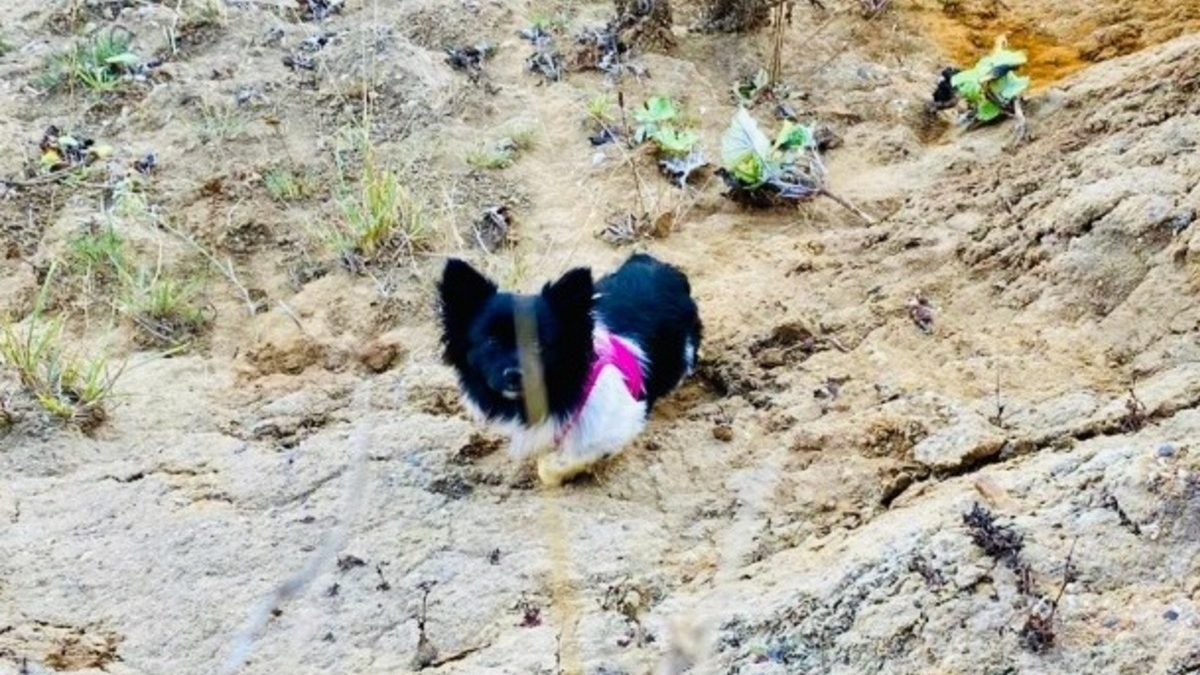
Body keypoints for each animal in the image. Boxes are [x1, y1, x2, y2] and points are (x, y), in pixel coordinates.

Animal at [436, 252, 700, 482]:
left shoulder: (624, 422)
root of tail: (658, 265)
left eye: (539, 344)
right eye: (491, 342)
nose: (514, 375)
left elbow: (555, 465)